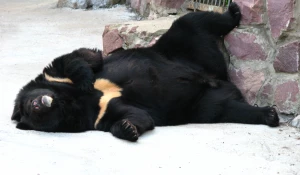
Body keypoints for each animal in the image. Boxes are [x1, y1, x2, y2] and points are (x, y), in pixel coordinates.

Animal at [11, 2, 278, 142]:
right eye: (31, 113)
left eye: (27, 105)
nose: (38, 103)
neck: (71, 100)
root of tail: (216, 78)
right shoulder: (94, 115)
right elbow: (133, 114)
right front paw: (128, 128)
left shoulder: (53, 77)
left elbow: (79, 58)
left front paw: (86, 79)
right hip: (202, 104)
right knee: (228, 109)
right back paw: (268, 115)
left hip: (181, 46)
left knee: (195, 22)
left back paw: (233, 11)